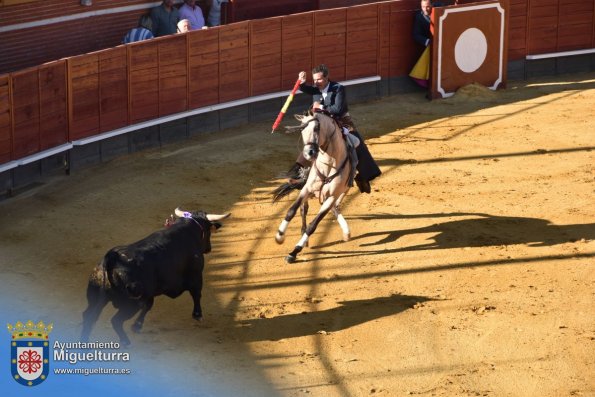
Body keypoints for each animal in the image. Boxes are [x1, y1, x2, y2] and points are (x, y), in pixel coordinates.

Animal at [82, 210, 232, 344]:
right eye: (208, 232)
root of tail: (111, 258)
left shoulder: (150, 292)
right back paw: (125, 342)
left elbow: (149, 305)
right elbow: (196, 294)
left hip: (96, 298)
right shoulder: (196, 275)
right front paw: (198, 315)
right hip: (131, 304)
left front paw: (137, 325)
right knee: (115, 321)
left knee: (88, 316)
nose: (209, 248)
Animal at [274, 110, 354, 262]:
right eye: (302, 129)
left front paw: (294, 251)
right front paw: (279, 236)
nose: (308, 153)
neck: (329, 163)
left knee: (335, 206)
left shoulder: (332, 196)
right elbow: (291, 211)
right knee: (303, 209)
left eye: (317, 128)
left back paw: (346, 232)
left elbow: (313, 225)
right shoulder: (306, 189)